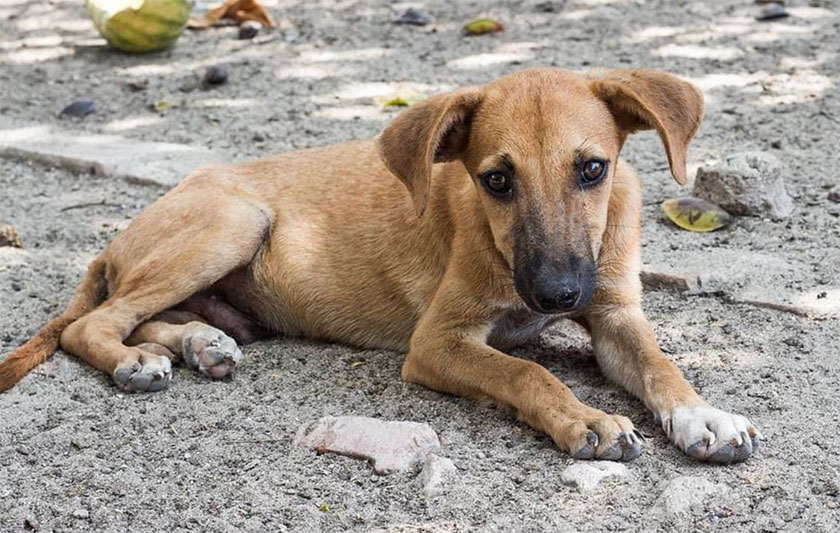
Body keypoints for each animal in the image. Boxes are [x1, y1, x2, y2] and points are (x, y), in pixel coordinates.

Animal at [0, 68, 760, 464]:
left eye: (593, 169)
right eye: (496, 180)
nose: (556, 294)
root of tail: (113, 242)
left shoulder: (614, 314)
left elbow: (661, 365)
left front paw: (705, 416)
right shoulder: (438, 342)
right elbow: (526, 371)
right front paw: (587, 418)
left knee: (151, 317)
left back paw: (200, 343)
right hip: (232, 222)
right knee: (93, 324)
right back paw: (136, 361)